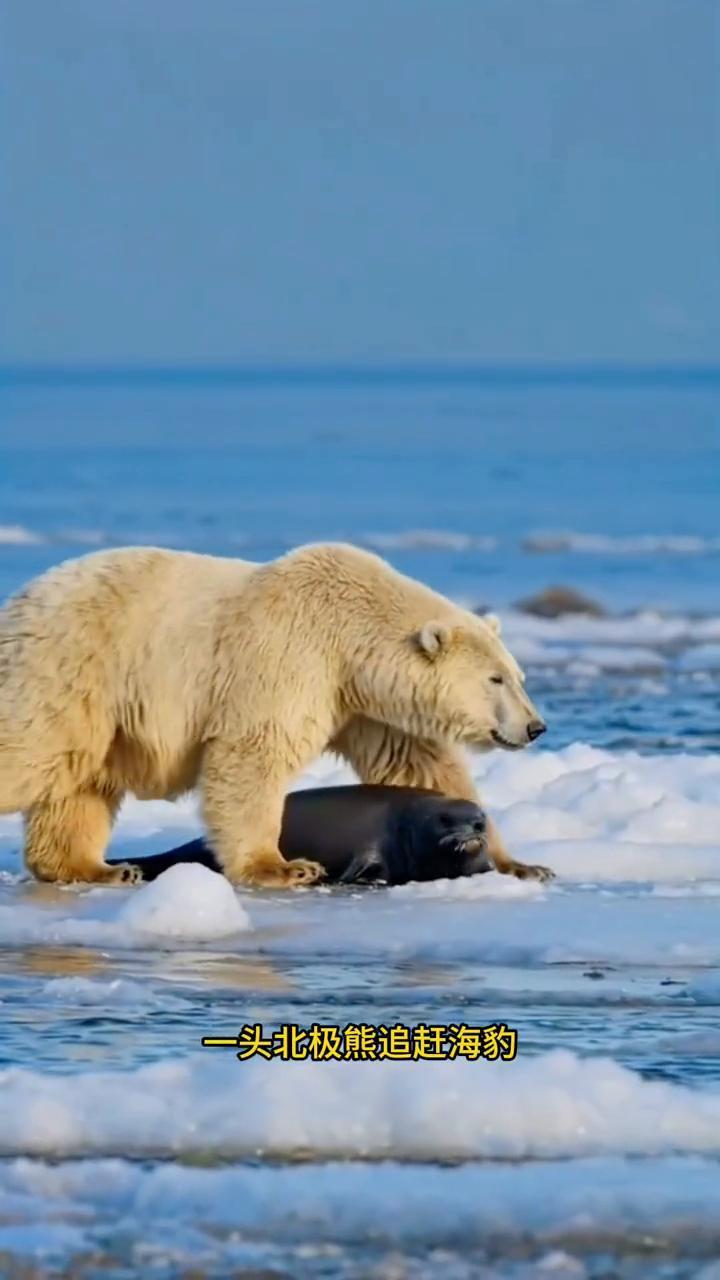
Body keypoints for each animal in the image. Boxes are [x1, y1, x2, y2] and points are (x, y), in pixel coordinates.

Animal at [0, 542, 545, 890]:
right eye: (496, 679)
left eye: (519, 675)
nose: (535, 727)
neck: (348, 631)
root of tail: (24, 596)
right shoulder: (288, 657)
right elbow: (254, 753)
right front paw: (284, 868)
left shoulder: (364, 704)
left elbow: (424, 766)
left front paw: (520, 864)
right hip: (75, 665)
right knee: (31, 746)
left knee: (81, 786)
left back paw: (99, 868)